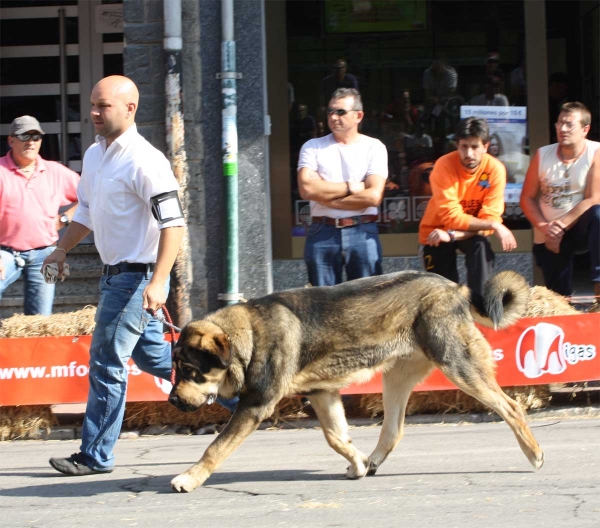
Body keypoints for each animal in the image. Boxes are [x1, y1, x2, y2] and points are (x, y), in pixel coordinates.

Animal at [168, 270, 544, 492]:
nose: (171, 401)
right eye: (174, 368)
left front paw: (190, 477)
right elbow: (335, 437)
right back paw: (374, 461)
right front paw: (358, 462)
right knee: (393, 429)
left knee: (511, 407)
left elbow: (216, 447)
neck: (249, 336)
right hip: (397, 378)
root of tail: (456, 288)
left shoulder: (255, 405)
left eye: (188, 370)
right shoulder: (322, 393)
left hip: (459, 365)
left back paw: (534, 454)